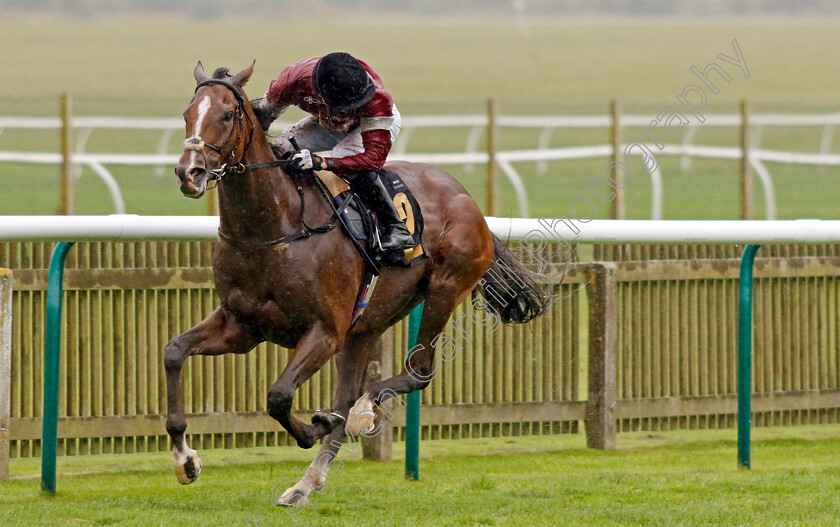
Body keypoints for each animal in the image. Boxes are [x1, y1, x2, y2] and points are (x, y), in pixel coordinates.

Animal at [171, 62, 552, 508]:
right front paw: (186, 461)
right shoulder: (242, 325)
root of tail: (467, 198)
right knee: (355, 387)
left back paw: (361, 412)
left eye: (228, 115)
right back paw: (305, 483)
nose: (189, 173)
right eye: (187, 113)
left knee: (415, 373)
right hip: (366, 327)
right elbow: (174, 351)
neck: (276, 227)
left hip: (444, 289)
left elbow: (279, 396)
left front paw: (317, 424)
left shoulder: (324, 331)